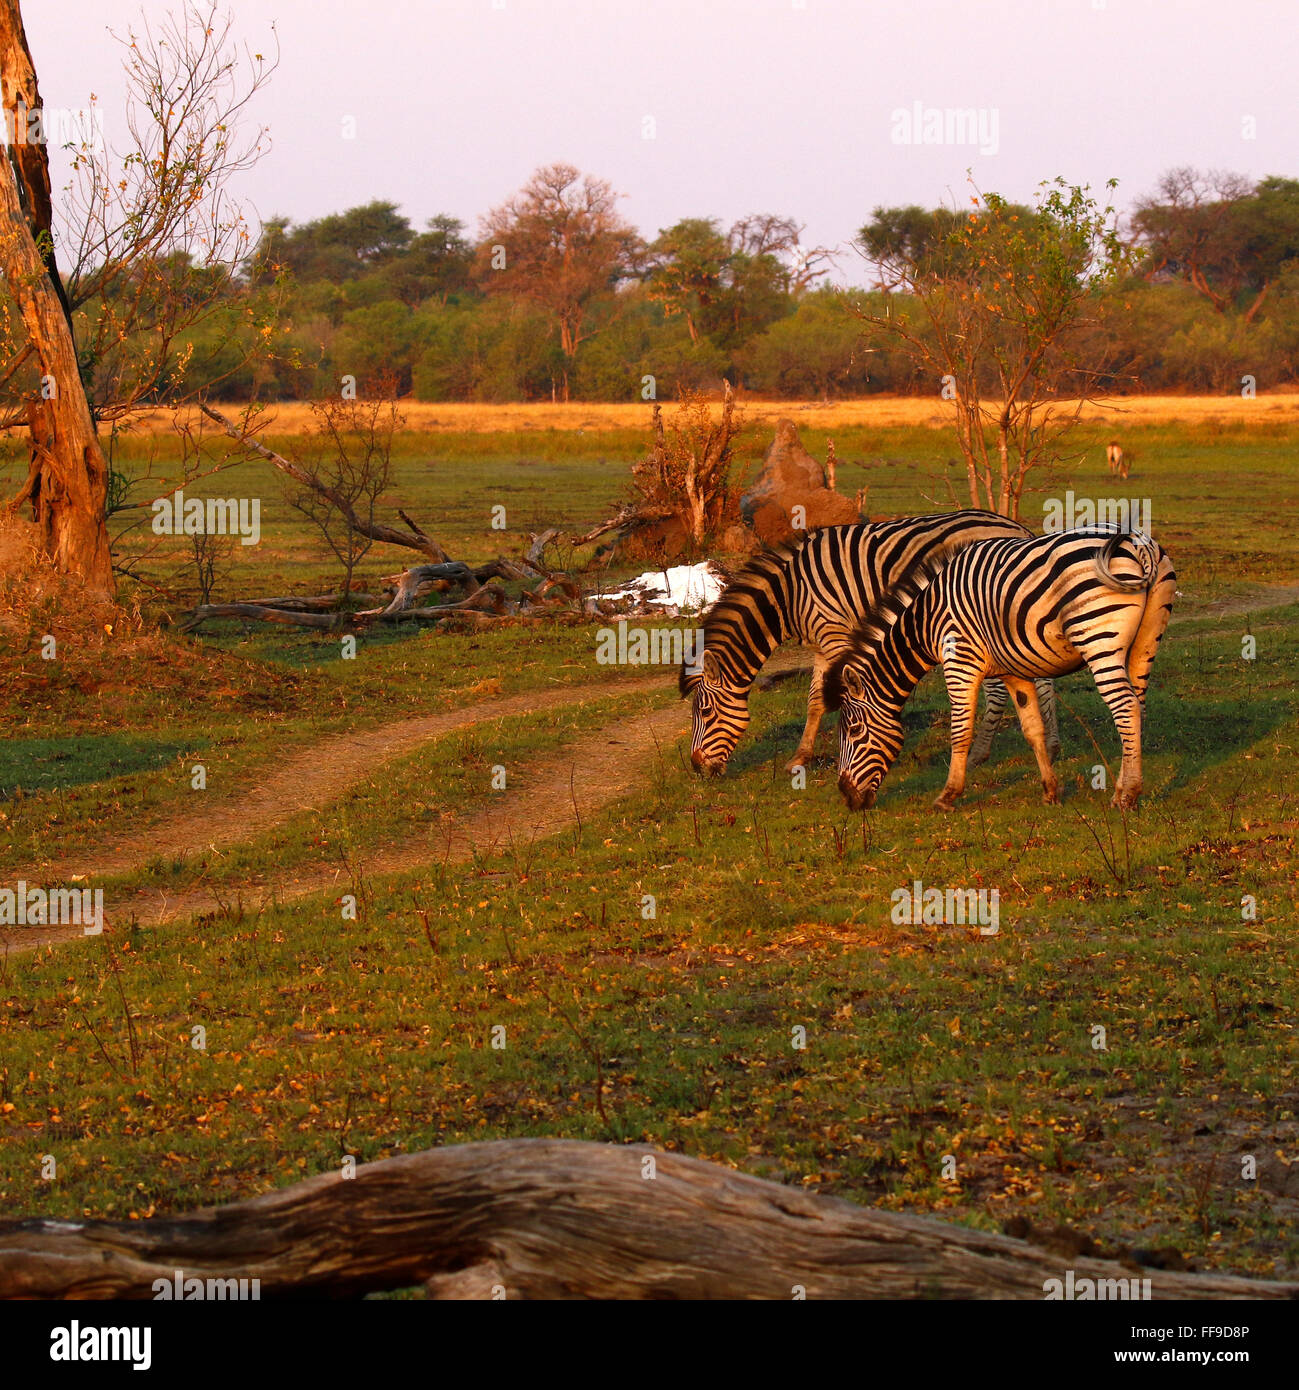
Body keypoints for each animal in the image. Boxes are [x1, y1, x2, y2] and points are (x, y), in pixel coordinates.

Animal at [679, 510, 1060, 776]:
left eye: (704, 712)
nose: (697, 769)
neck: (788, 595)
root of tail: (1017, 529)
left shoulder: (835, 637)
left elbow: (831, 698)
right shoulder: (821, 645)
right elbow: (814, 701)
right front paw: (800, 757)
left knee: (999, 690)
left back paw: (982, 751)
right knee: (1041, 680)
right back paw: (1052, 744)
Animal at [823, 527, 1176, 813]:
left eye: (854, 730)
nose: (847, 798)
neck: (926, 621)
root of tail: (1140, 545)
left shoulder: (960, 663)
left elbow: (960, 731)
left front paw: (948, 796)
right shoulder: (1013, 672)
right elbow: (1032, 728)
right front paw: (1051, 791)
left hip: (1098, 640)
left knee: (1126, 708)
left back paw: (1127, 795)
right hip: (1145, 643)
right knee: (1137, 707)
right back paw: (1125, 787)